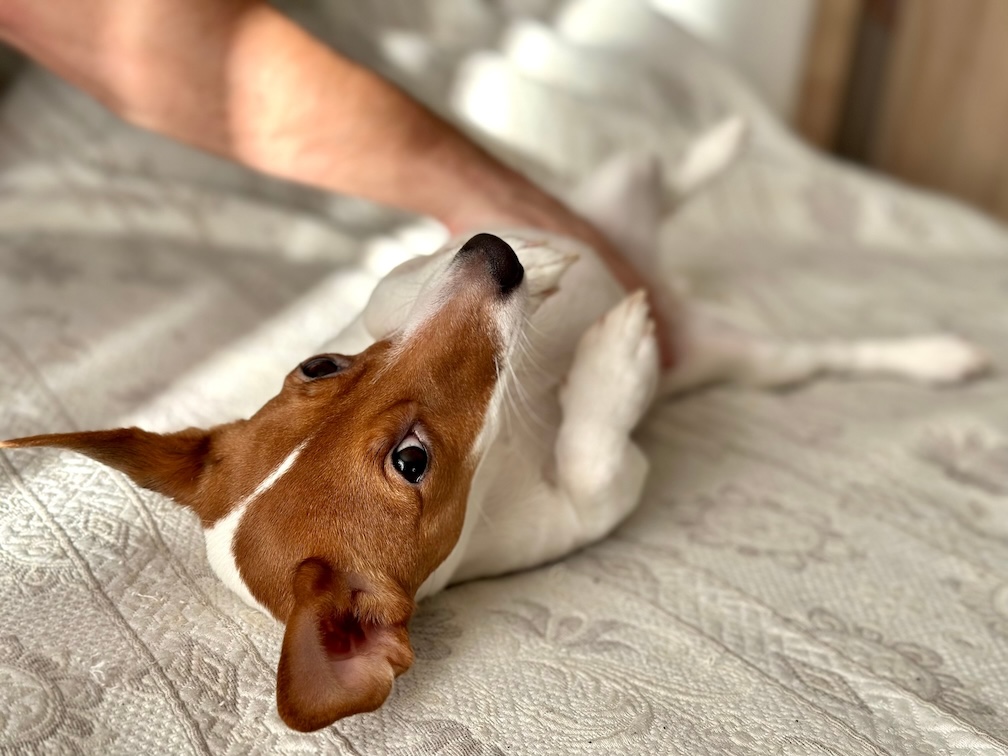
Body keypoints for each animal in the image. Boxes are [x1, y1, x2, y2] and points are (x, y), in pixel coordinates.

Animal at [1, 119, 991, 733]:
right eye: (411, 461)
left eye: (320, 364)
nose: (495, 250)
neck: (506, 447)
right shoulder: (595, 503)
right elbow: (598, 452)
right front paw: (611, 357)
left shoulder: (394, 306)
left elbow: (391, 283)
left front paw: (536, 260)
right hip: (745, 360)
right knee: (826, 350)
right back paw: (937, 353)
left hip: (605, 199)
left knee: (656, 174)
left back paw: (719, 144)